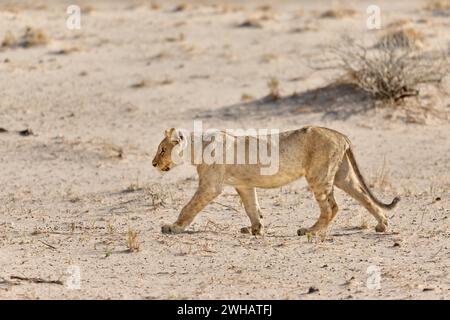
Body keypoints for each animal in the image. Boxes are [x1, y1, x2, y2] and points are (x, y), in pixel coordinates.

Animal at [153, 126, 400, 236]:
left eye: (162, 149)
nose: (154, 163)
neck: (197, 147)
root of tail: (341, 135)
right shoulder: (244, 185)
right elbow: (252, 207)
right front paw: (255, 229)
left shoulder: (210, 186)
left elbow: (189, 207)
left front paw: (172, 227)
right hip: (342, 175)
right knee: (365, 197)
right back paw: (382, 224)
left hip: (318, 175)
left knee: (332, 207)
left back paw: (309, 231)